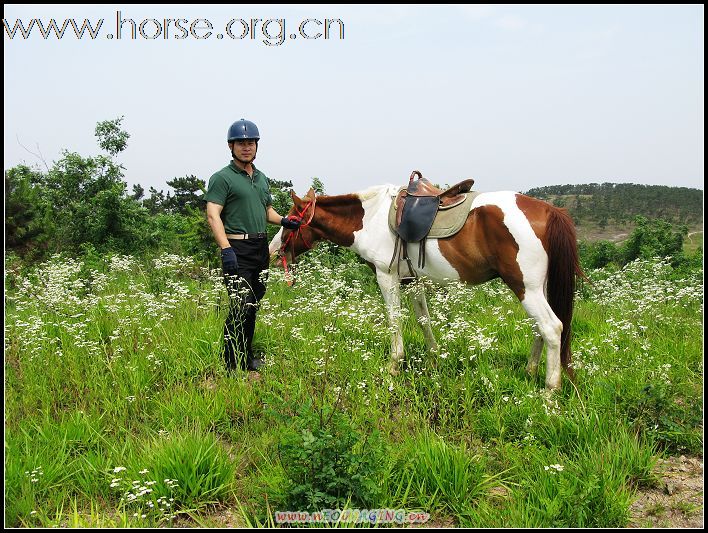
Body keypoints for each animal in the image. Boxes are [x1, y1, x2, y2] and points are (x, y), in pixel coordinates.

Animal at [268, 184, 584, 390]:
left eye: (291, 221)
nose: (272, 250)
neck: (371, 218)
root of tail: (549, 209)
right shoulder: (412, 280)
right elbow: (423, 319)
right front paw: (434, 358)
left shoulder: (386, 276)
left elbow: (394, 321)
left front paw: (394, 365)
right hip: (537, 289)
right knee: (541, 328)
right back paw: (530, 370)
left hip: (524, 287)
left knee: (552, 327)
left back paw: (550, 391)